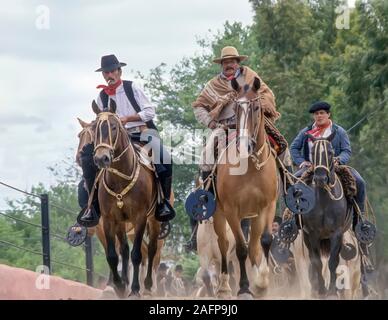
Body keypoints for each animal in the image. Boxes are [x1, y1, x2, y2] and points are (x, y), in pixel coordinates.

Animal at [76, 117, 165, 292]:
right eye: (79, 136)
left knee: (152, 251)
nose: (80, 156)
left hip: (153, 220)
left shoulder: (140, 217)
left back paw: (148, 285)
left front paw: (134, 288)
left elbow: (134, 255)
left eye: (113, 128)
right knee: (130, 250)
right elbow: (113, 253)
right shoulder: (108, 221)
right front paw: (117, 284)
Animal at [212, 77, 278, 298]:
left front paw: (261, 283)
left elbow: (265, 240)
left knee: (255, 246)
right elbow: (240, 248)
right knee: (223, 244)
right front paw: (243, 287)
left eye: (256, 107)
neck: (249, 167)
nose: (244, 145)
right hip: (220, 214)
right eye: (235, 109)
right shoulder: (231, 210)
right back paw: (224, 286)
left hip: (253, 216)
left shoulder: (268, 206)